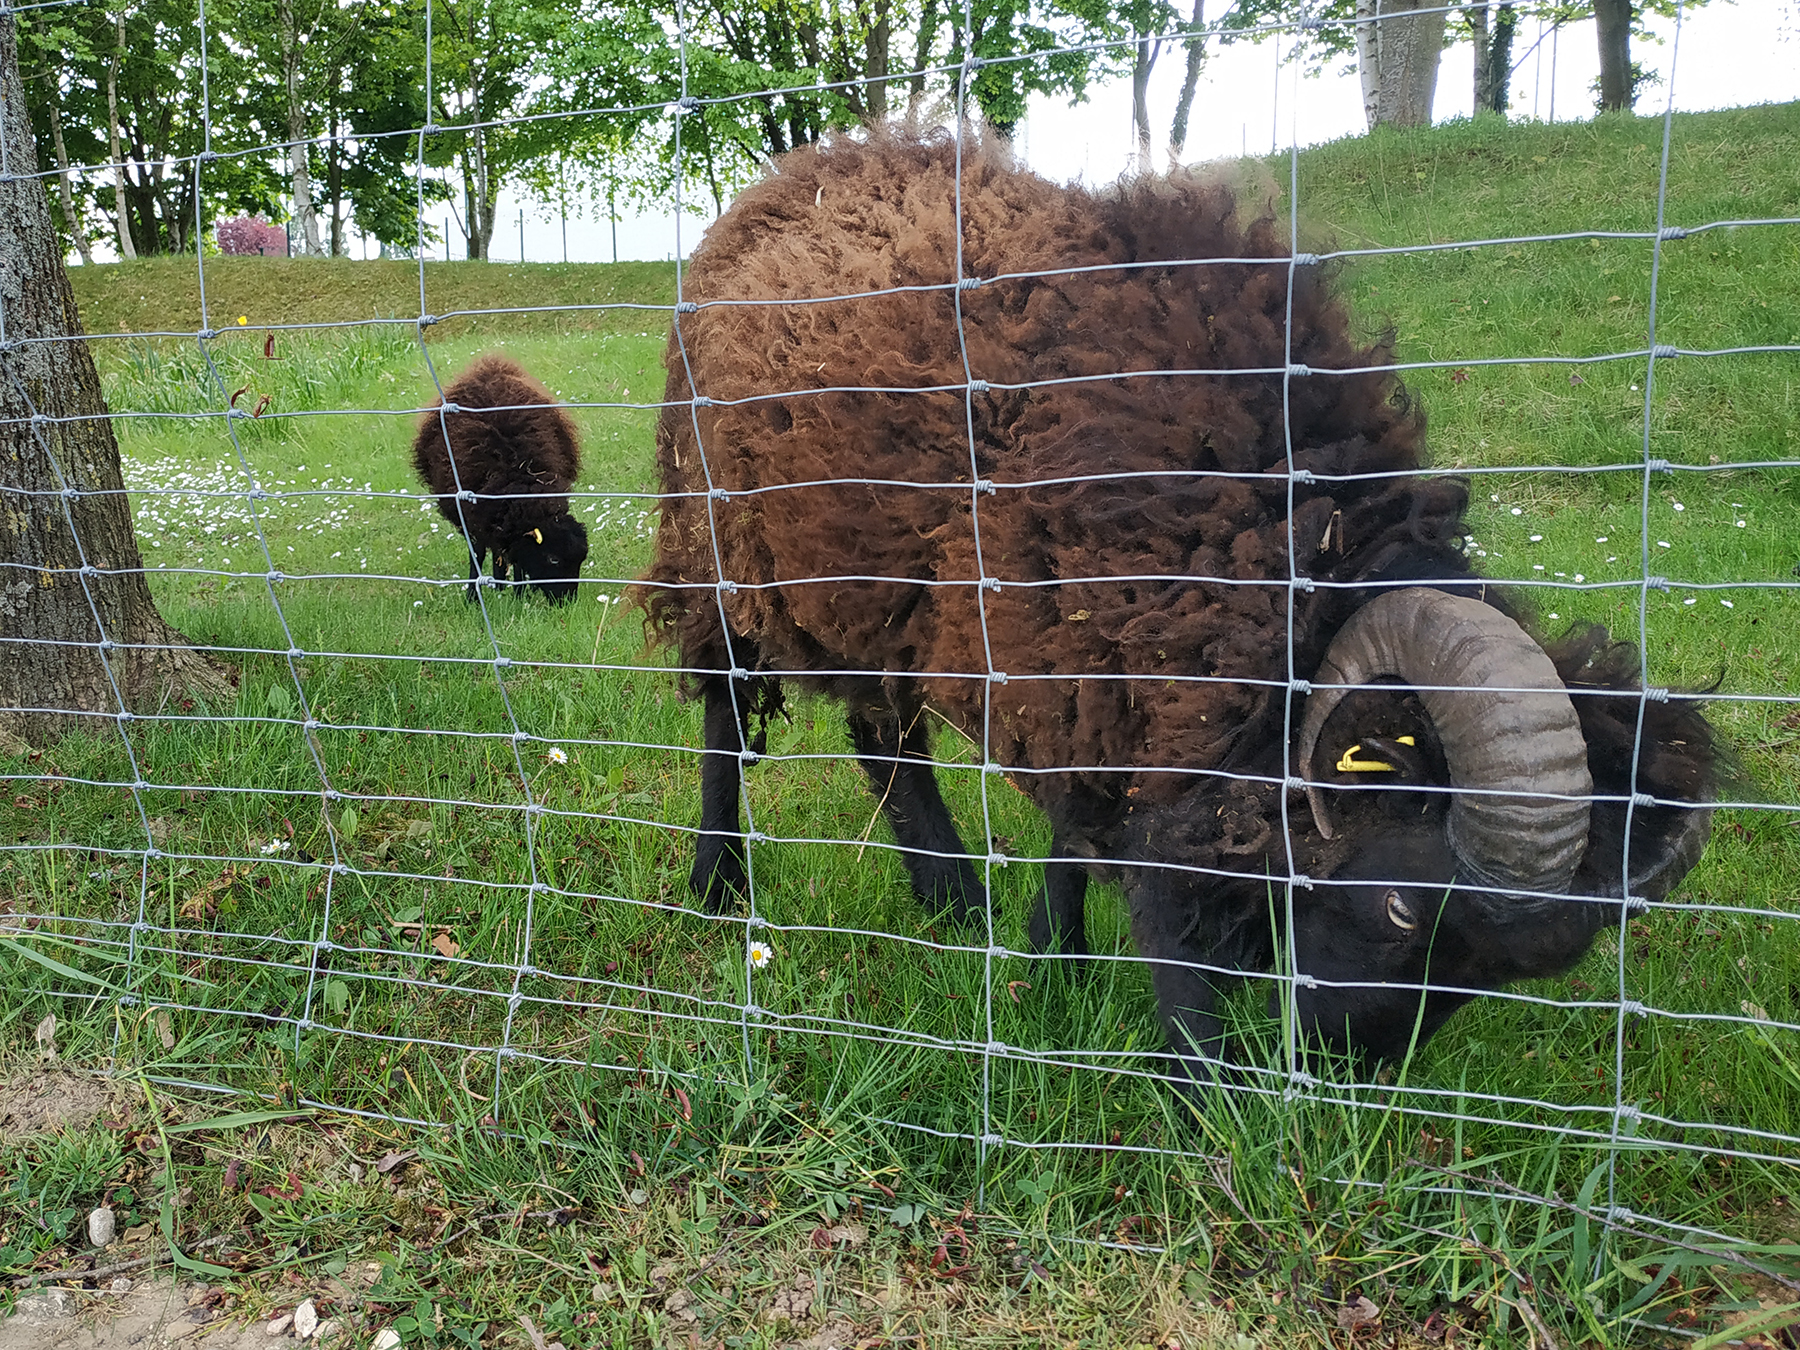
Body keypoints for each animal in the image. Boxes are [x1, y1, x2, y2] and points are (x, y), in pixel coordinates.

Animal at [414, 354, 590, 601]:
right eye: (553, 559)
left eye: (580, 560)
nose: (566, 602)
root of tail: (491, 365)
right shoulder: (470, 513)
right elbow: (477, 554)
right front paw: (473, 597)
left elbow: (514, 558)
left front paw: (518, 593)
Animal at [633, 132, 1713, 1094]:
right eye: (1406, 906)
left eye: (1498, 973)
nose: (1337, 1069)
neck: (1293, 540)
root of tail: (800, 171)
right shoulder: (1095, 660)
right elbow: (1161, 893)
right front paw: (1200, 1086)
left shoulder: (1095, 664)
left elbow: (1076, 835)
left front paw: (1051, 960)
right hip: (721, 550)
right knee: (728, 710)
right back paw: (720, 883)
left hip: (877, 587)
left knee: (882, 733)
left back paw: (951, 898)